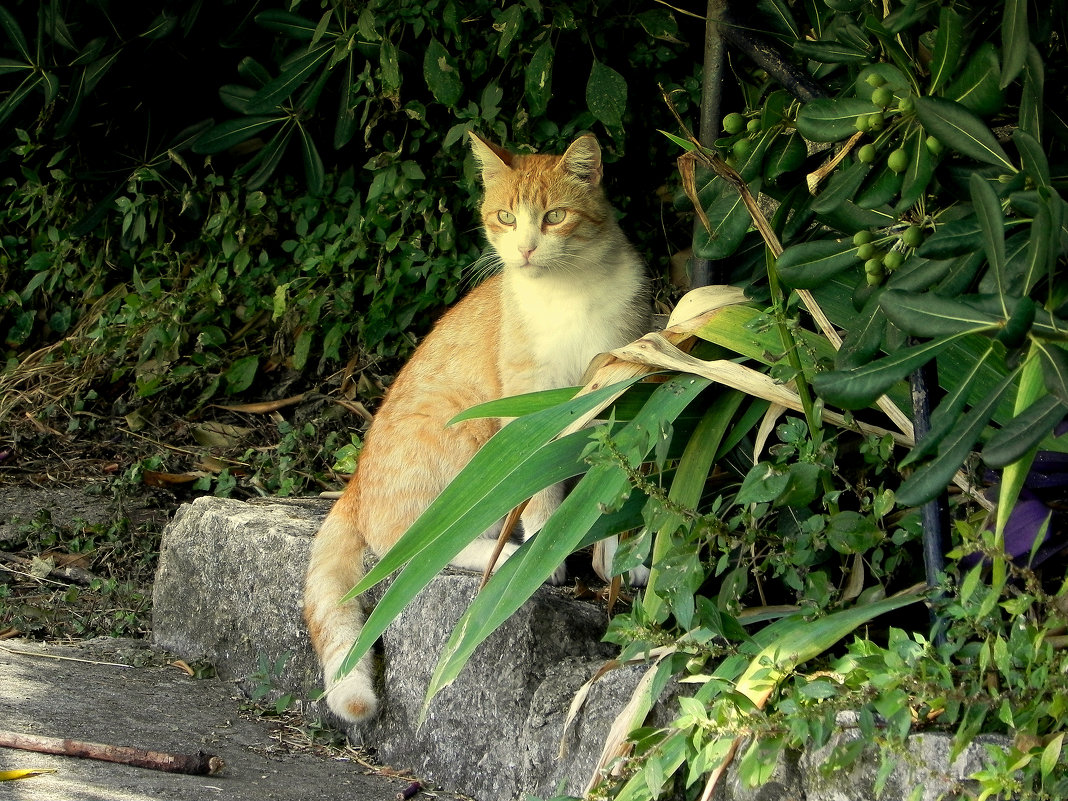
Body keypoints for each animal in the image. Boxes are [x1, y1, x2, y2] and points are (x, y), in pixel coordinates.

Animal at [305, 133, 645, 726]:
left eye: (554, 217)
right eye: (506, 217)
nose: (526, 249)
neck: (567, 294)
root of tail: (355, 482)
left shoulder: (621, 389)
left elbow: (612, 484)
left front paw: (616, 556)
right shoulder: (529, 405)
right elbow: (540, 495)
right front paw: (550, 549)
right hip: (467, 434)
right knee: (415, 549)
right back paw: (508, 558)